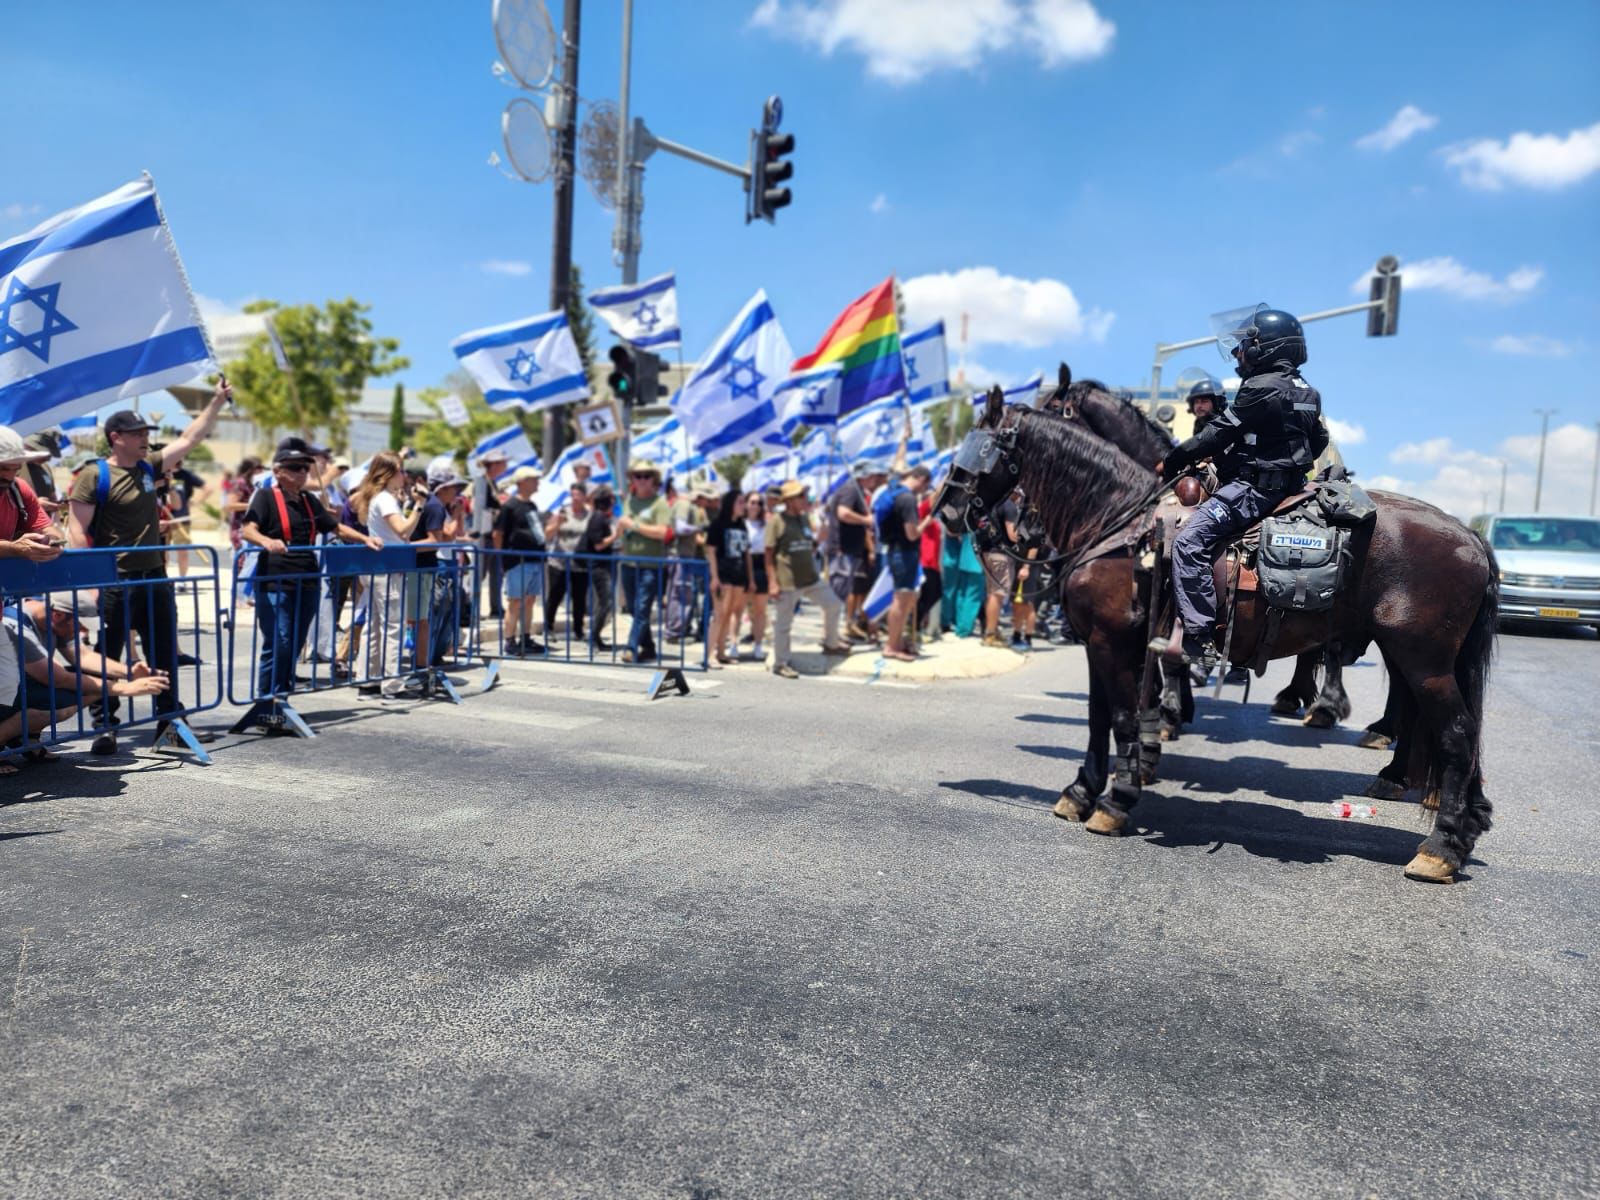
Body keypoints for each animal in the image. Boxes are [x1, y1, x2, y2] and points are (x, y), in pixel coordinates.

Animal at [934, 390, 1497, 889]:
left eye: (977, 446)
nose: (945, 510)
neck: (1118, 524)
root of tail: (1469, 536)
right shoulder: (1102, 644)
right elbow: (1098, 719)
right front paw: (1082, 791)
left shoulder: (1115, 643)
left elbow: (1123, 718)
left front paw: (1118, 797)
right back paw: (1460, 819)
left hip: (1423, 661)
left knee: (1456, 733)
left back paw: (1439, 847)